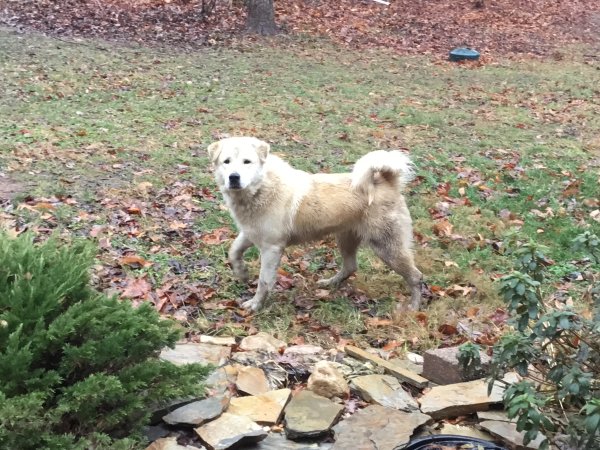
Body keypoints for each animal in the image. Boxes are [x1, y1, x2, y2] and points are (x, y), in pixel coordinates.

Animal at [207, 137, 422, 312]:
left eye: (247, 162)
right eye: (226, 162)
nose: (234, 177)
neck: (261, 188)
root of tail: (386, 182)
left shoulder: (271, 248)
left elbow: (264, 281)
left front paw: (255, 305)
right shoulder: (250, 233)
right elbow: (233, 252)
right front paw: (242, 273)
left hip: (387, 248)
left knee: (416, 277)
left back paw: (413, 307)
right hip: (346, 239)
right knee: (351, 266)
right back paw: (330, 283)